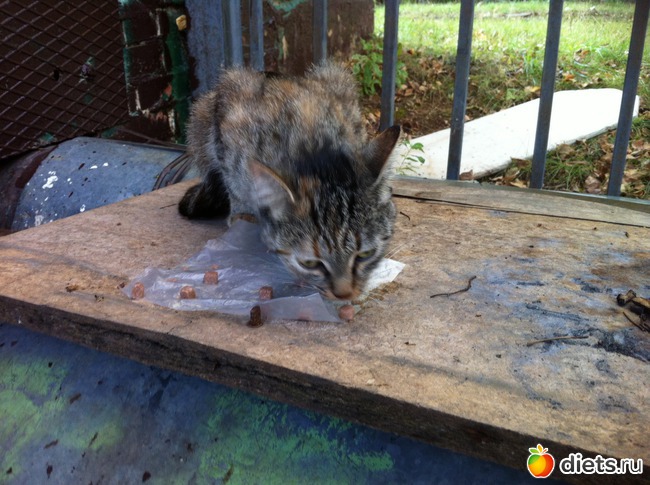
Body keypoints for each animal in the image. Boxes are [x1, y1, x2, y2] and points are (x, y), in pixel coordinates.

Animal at [179, 62, 400, 300]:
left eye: (366, 254)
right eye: (309, 263)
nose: (344, 295)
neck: (314, 150)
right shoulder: (229, 117)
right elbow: (233, 184)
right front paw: (242, 213)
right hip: (202, 115)